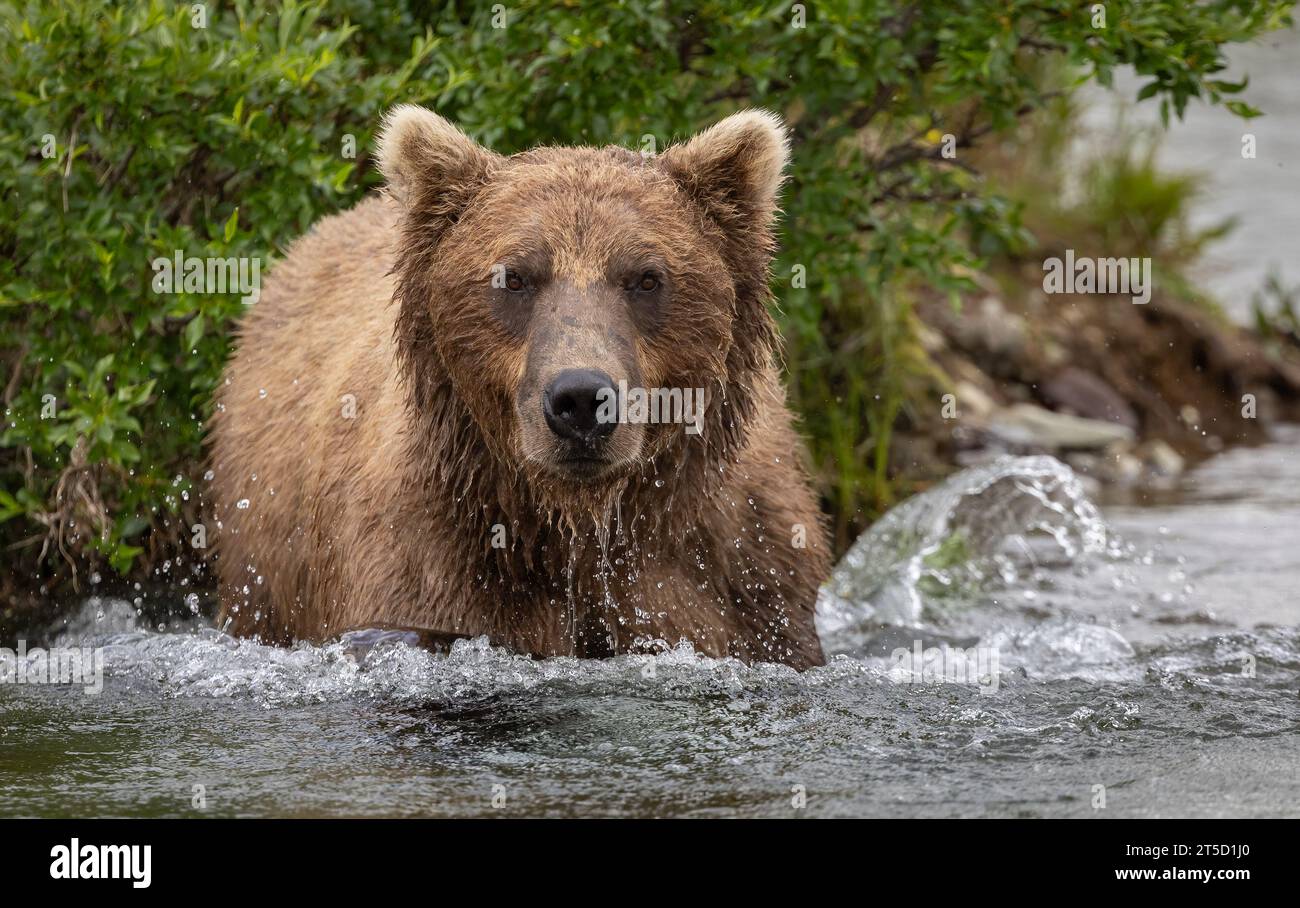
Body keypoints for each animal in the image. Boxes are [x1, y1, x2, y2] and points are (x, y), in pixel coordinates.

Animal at [208, 107, 826, 666]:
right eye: (515, 276)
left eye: (647, 277)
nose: (582, 400)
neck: (575, 529)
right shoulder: (427, 565)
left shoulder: (740, 580)